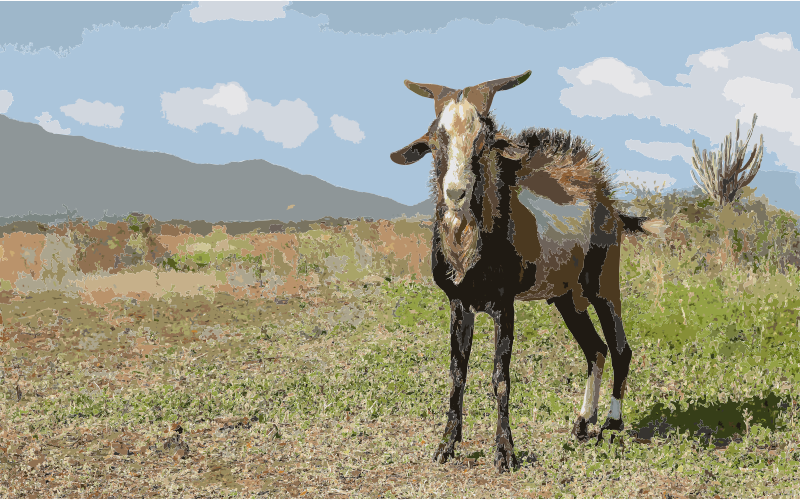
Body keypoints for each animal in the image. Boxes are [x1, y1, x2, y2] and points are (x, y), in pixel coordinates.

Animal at [390, 69, 664, 472]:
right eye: (435, 142)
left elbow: (500, 377)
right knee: (595, 349)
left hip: (603, 281)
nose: (455, 194)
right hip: (567, 297)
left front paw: (505, 453)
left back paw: (612, 425)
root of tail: (608, 200)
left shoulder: (504, 305)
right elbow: (457, 374)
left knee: (619, 347)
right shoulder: (459, 304)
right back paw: (582, 424)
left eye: (484, 143)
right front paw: (446, 446)